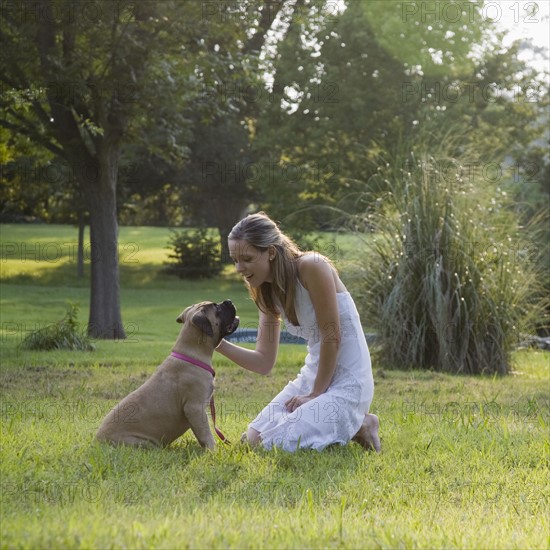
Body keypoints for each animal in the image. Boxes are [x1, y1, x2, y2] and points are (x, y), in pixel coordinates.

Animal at [94, 302, 239, 452]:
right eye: (217, 308)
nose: (229, 301)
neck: (191, 353)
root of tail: (97, 443)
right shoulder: (194, 408)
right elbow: (206, 434)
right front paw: (213, 451)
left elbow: (200, 434)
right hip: (142, 443)